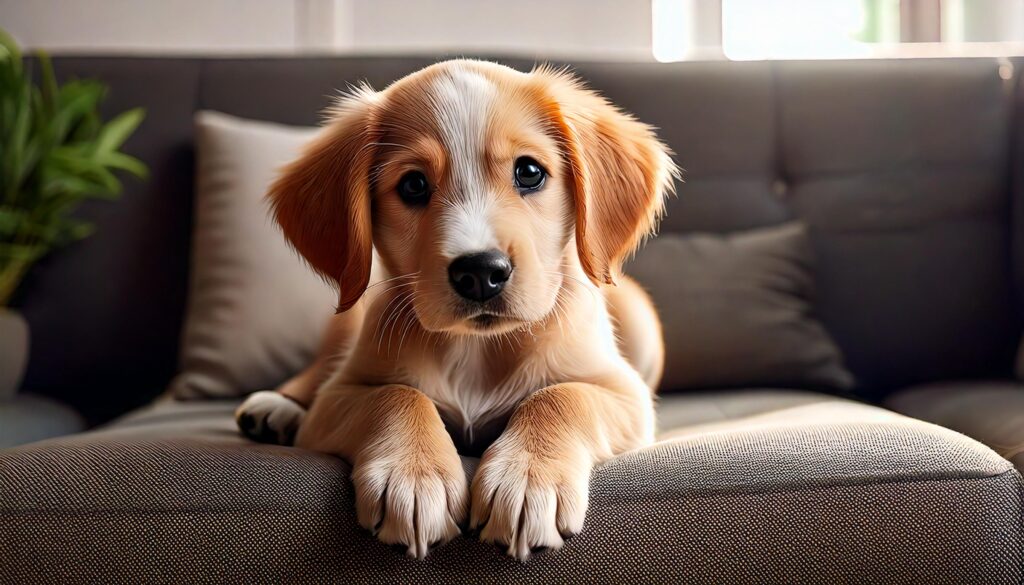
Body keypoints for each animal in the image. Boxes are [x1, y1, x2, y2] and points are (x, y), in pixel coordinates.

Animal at [234, 59, 675, 561]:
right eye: (413, 184)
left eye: (529, 172)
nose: (480, 272)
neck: (476, 350)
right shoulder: (339, 395)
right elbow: (396, 394)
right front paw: (414, 476)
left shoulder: (625, 394)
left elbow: (561, 395)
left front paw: (527, 477)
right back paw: (276, 408)